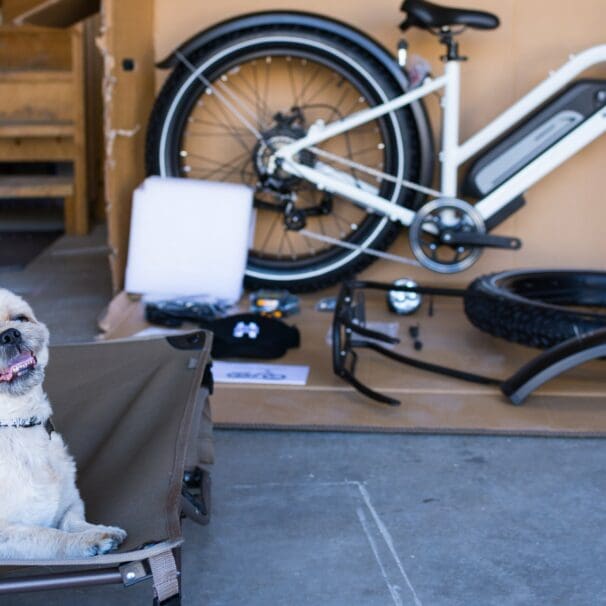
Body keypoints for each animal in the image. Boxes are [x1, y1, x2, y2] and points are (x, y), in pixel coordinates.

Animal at [0, 290, 126, 560]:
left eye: (20, 318)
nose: (9, 334)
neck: (17, 423)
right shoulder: (4, 534)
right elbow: (48, 535)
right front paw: (85, 542)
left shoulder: (70, 503)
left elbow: (71, 520)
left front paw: (99, 531)